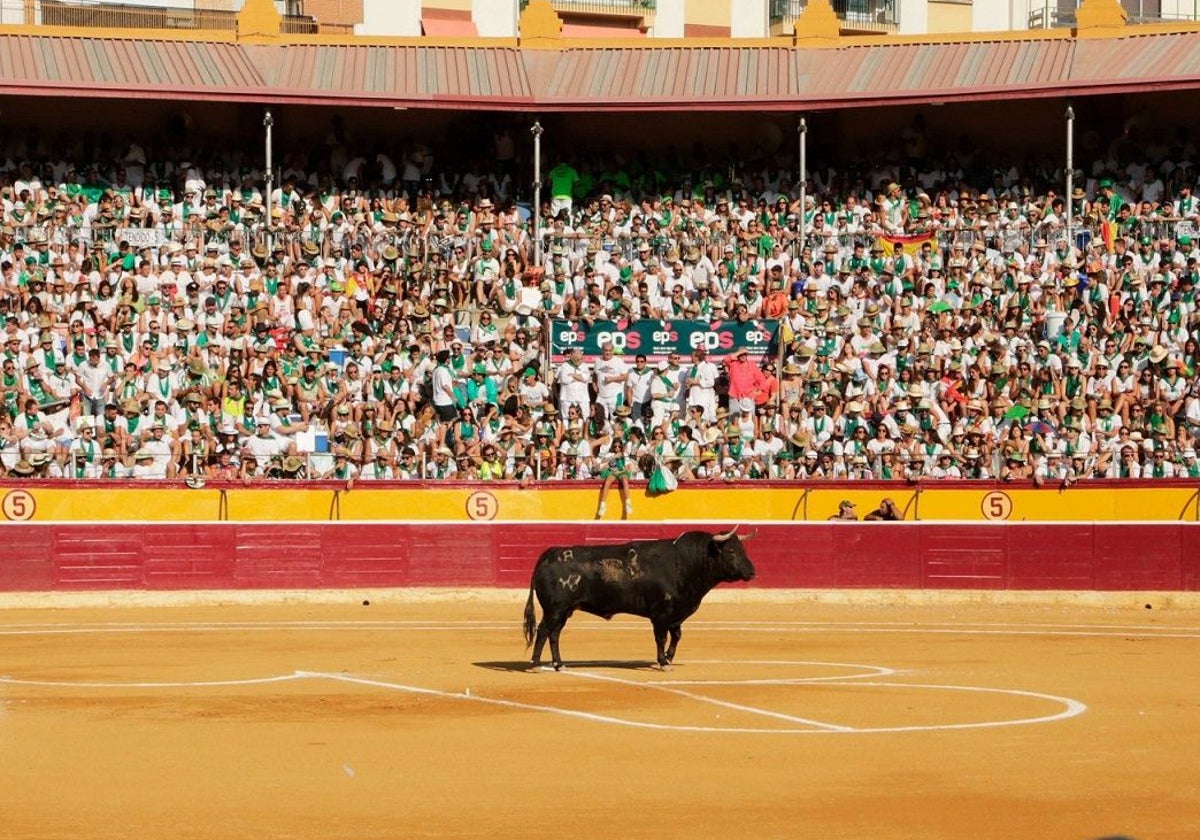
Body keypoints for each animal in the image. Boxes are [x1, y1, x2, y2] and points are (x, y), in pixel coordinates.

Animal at [520, 528, 753, 672]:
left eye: (742, 549)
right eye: (731, 551)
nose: (752, 572)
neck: (684, 563)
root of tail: (551, 553)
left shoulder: (676, 614)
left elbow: (676, 636)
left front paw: (668, 658)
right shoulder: (660, 614)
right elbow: (661, 638)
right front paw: (663, 662)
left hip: (565, 610)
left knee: (554, 634)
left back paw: (559, 664)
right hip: (555, 609)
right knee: (543, 631)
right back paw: (536, 664)